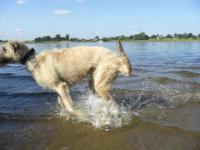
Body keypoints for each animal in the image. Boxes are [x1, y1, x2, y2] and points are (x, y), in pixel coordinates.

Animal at [0, 40, 132, 116]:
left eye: (4, 49)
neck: (31, 58)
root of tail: (117, 59)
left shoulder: (60, 86)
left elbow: (69, 106)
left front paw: (79, 114)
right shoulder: (60, 87)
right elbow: (60, 101)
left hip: (100, 83)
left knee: (113, 103)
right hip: (95, 81)